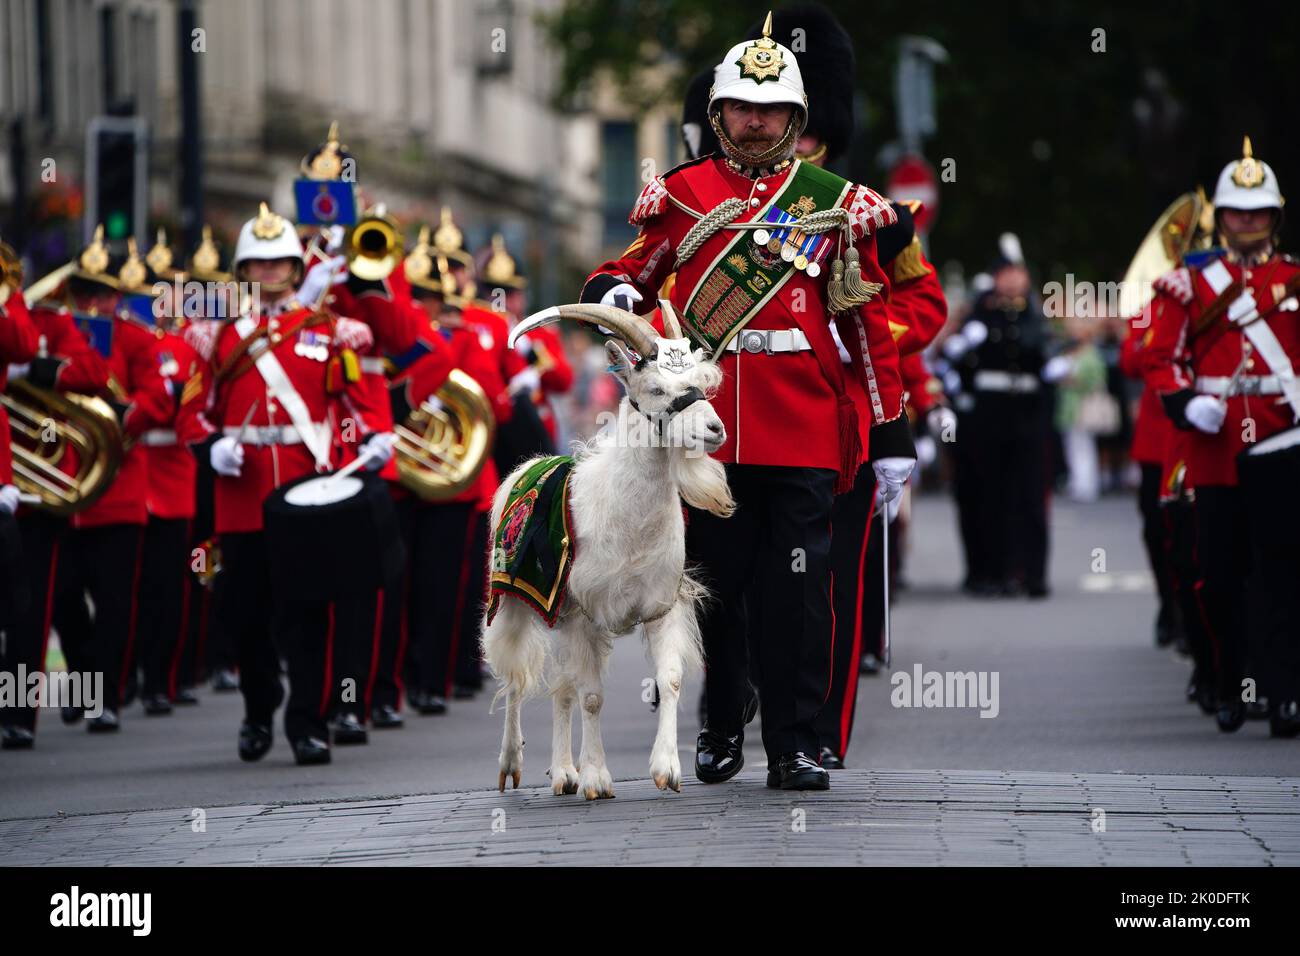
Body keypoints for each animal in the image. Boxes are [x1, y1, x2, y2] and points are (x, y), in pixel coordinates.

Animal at [483, 299, 738, 801]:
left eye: (700, 384)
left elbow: (669, 679)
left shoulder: (659, 606)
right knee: (517, 678)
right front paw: (597, 779)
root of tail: (529, 466)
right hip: (516, 601)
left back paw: (563, 773)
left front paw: (667, 770)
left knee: (561, 688)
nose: (715, 429)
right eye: (656, 388)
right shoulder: (583, 612)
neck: (627, 521)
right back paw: (511, 766)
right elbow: (593, 696)